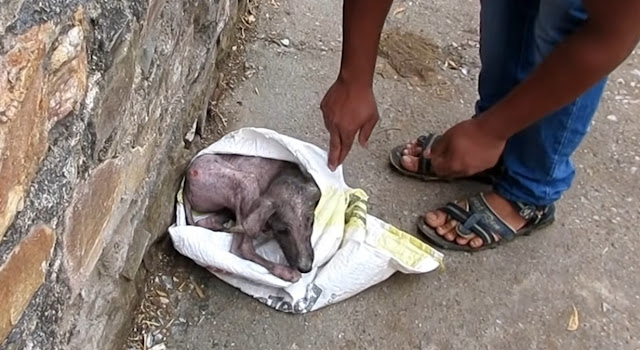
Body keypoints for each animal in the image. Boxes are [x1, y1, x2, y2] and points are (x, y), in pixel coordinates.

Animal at [181, 153, 320, 282]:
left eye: (312, 223)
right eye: (281, 230)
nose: (305, 268)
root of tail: (186, 183)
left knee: (207, 221)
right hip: (246, 180)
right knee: (241, 247)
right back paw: (284, 271)